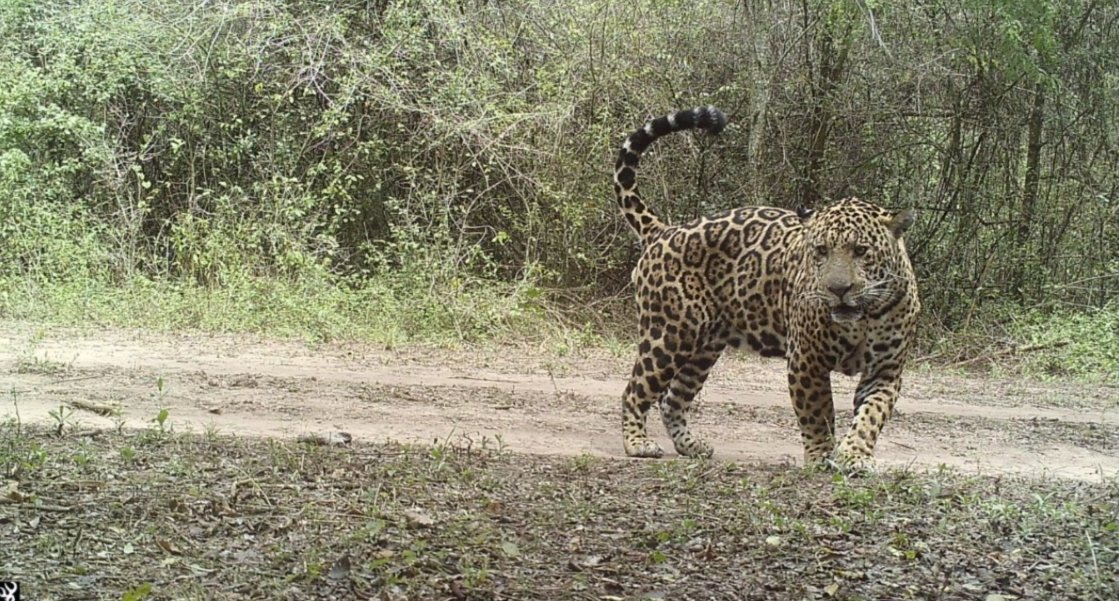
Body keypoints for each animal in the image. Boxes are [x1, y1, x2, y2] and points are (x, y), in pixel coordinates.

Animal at [612, 105, 920, 471]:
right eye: (820, 251)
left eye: (861, 250)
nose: (838, 289)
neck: (864, 318)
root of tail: (664, 230)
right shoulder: (806, 360)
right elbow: (818, 414)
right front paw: (820, 457)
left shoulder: (885, 370)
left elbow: (871, 415)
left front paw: (854, 455)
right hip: (669, 335)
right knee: (635, 390)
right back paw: (637, 444)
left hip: (705, 347)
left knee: (673, 398)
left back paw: (691, 446)